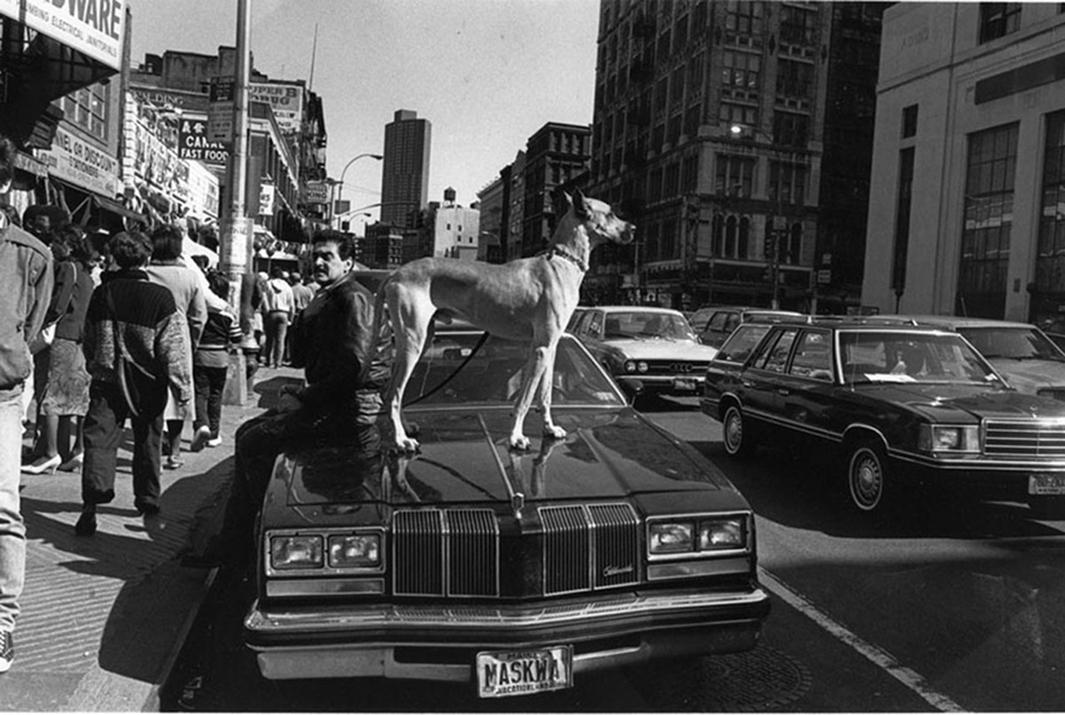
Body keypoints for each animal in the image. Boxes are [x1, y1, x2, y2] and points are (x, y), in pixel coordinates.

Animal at [374, 187, 630, 449]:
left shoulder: (551, 347)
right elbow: (525, 398)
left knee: (393, 390)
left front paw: (549, 428)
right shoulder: (541, 348)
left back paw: (406, 428)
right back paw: (400, 439)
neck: (562, 261)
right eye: (611, 213)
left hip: (423, 339)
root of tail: (396, 273)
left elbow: (545, 395)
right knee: (394, 393)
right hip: (413, 341)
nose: (633, 228)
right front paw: (516, 436)